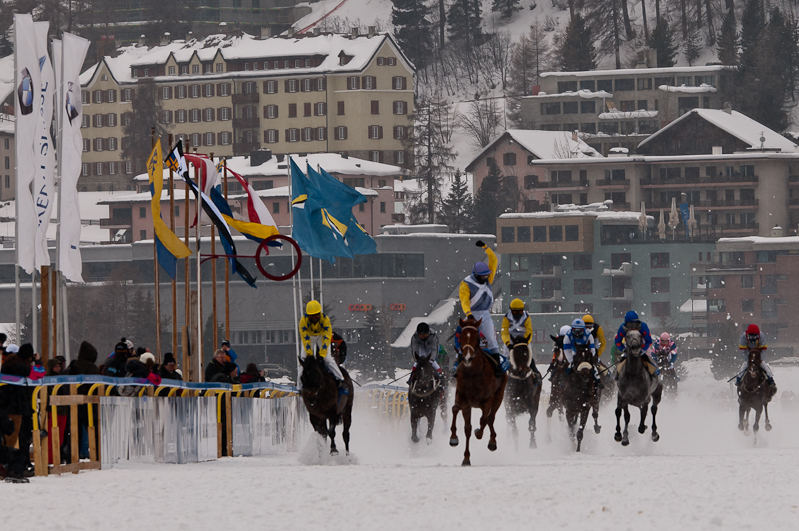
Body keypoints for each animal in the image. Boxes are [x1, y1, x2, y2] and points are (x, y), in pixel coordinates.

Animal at [446, 316, 510, 466]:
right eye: (461, 337)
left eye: (476, 337)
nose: (467, 358)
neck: (474, 374)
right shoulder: (464, 400)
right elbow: (466, 427)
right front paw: (464, 455)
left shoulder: (487, 400)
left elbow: (483, 421)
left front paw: (479, 433)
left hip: (499, 395)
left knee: (490, 418)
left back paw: (492, 441)